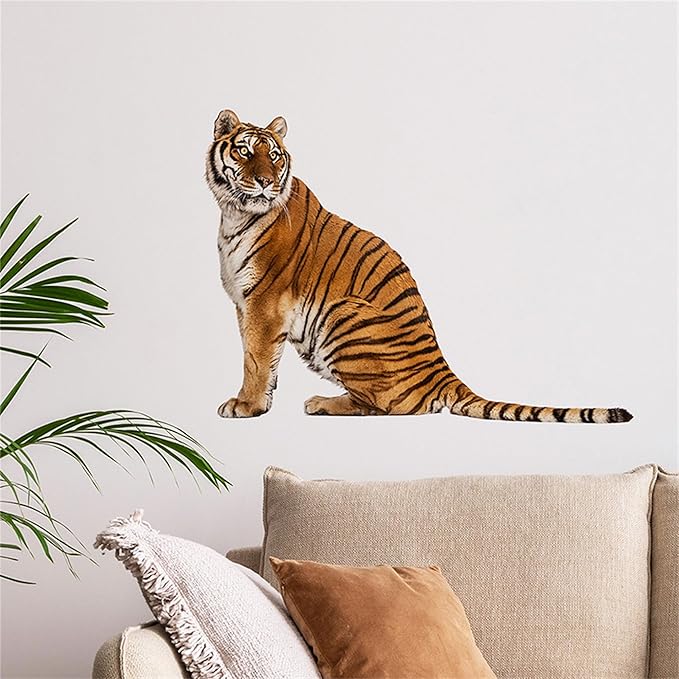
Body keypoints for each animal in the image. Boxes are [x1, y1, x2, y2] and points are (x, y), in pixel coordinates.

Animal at [205, 109, 632, 423]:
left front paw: (246, 406)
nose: (265, 181)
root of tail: (440, 368)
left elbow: (254, 359)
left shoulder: (264, 302)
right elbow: (261, 359)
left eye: (274, 156)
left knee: (390, 405)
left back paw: (321, 403)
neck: (234, 213)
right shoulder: (244, 304)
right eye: (245, 152)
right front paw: (260, 401)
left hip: (342, 315)